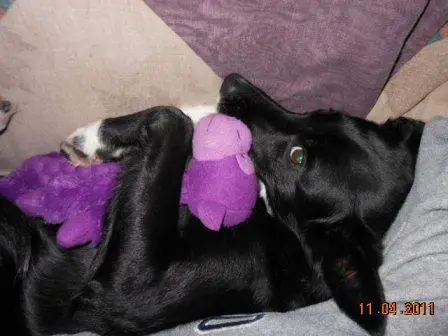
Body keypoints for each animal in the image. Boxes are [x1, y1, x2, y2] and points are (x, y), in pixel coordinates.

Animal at [0, 75, 424, 334]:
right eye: (324, 111)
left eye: (298, 158)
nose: (233, 80)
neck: (280, 230)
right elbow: (190, 119)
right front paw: (97, 140)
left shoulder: (128, 291)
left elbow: (174, 120)